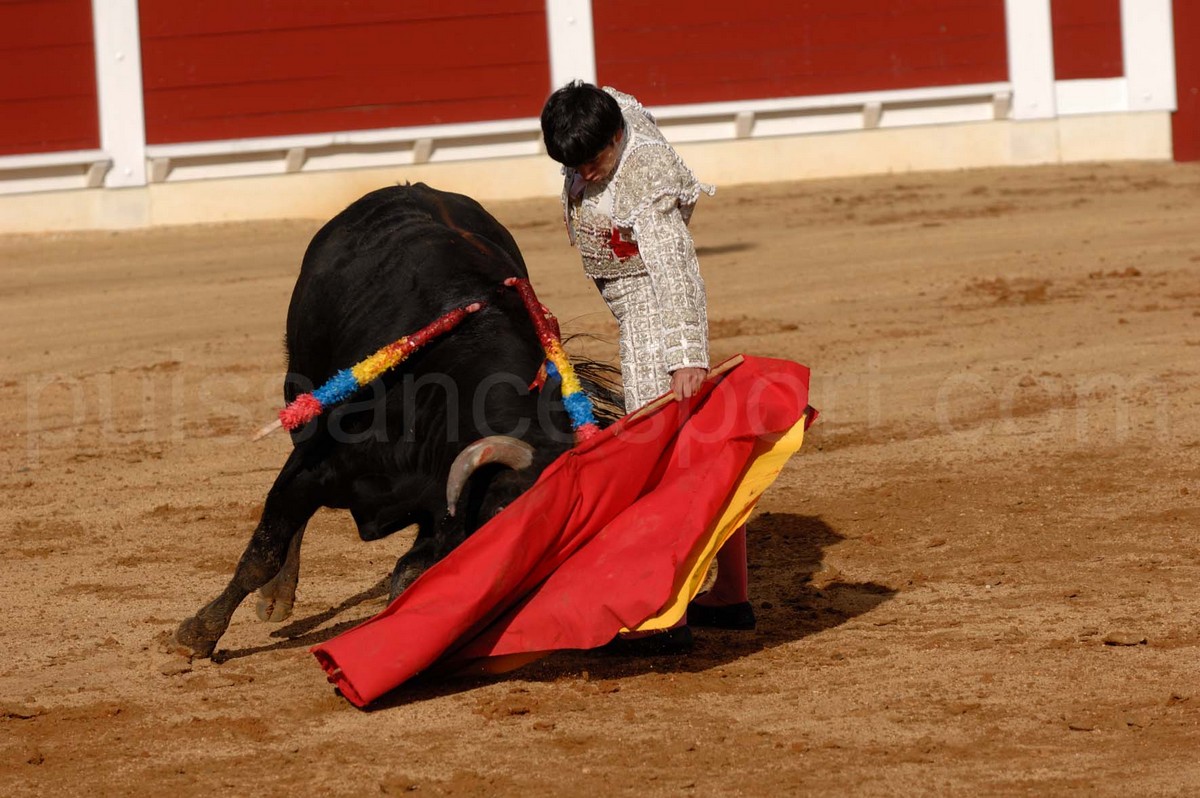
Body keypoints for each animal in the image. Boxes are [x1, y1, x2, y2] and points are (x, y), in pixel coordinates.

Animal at [173, 184, 619, 660]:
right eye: (502, 513)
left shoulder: (440, 514)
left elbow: (409, 577)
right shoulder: (314, 466)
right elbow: (264, 549)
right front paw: (197, 634)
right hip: (297, 391)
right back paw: (276, 598)